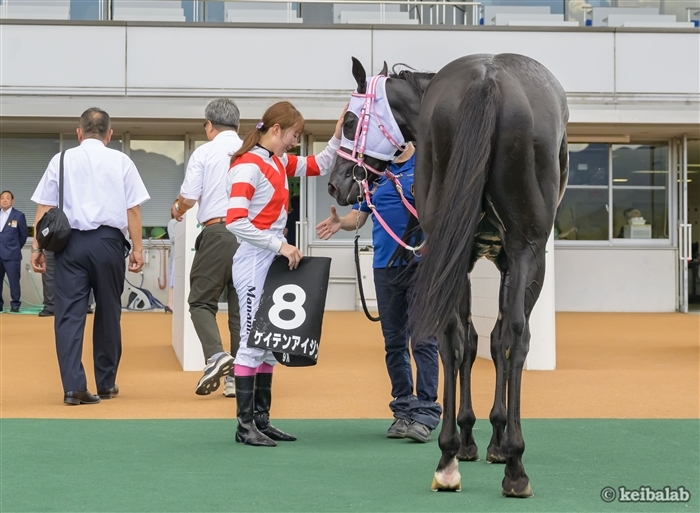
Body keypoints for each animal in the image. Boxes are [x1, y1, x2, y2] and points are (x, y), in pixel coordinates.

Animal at [328, 55, 568, 496]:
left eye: (350, 122)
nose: (337, 184)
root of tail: (488, 79)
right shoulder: (497, 257)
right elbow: (489, 339)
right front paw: (490, 440)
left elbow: (481, 339)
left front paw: (485, 438)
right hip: (523, 248)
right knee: (510, 334)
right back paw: (504, 464)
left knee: (463, 336)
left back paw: (454, 458)